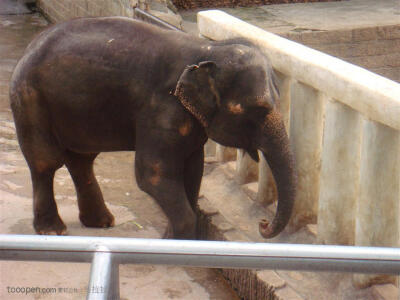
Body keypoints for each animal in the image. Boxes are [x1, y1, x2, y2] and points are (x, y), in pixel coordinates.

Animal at [9, 16, 296, 239]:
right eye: (258, 110)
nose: (262, 224)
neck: (207, 49)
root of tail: (29, 48)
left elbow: (193, 169)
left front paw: (175, 240)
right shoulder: (161, 108)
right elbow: (153, 173)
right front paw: (176, 244)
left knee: (81, 160)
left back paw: (101, 223)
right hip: (30, 98)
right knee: (46, 162)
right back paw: (53, 230)